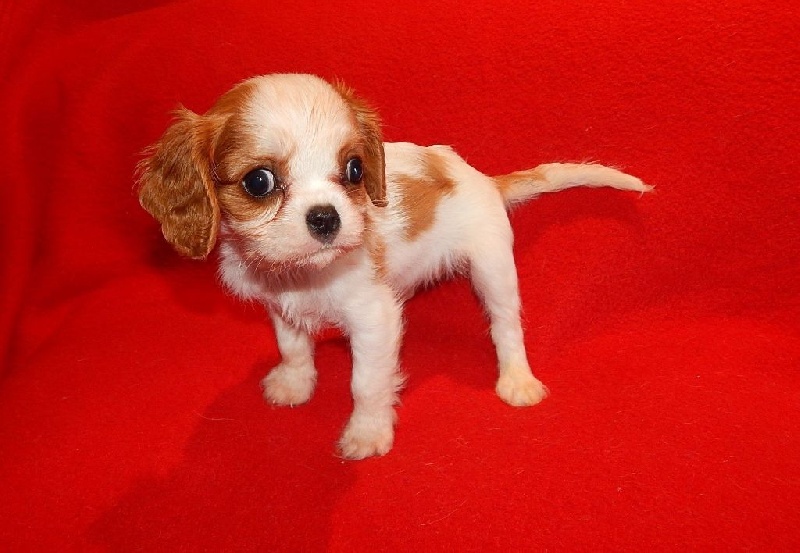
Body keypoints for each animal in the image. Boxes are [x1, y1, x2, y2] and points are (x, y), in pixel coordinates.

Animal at [138, 73, 650, 459]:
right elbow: (292, 345)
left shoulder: (374, 320)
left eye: (354, 170)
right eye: (258, 182)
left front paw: (367, 433)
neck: (308, 273)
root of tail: (480, 177)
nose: (326, 217)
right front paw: (295, 383)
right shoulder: (279, 303)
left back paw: (516, 380)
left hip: (493, 268)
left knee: (506, 325)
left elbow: (366, 381)